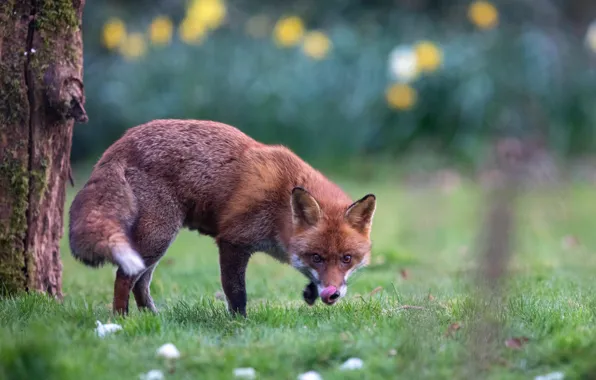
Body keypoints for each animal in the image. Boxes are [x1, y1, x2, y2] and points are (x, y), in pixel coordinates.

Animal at [68, 120, 378, 316]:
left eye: (346, 258)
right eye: (317, 257)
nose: (331, 294)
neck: (281, 202)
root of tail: (121, 141)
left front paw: (311, 291)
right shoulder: (233, 241)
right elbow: (236, 292)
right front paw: (240, 324)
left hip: (155, 242)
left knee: (140, 283)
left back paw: (152, 318)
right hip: (158, 236)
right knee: (124, 277)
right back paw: (121, 320)